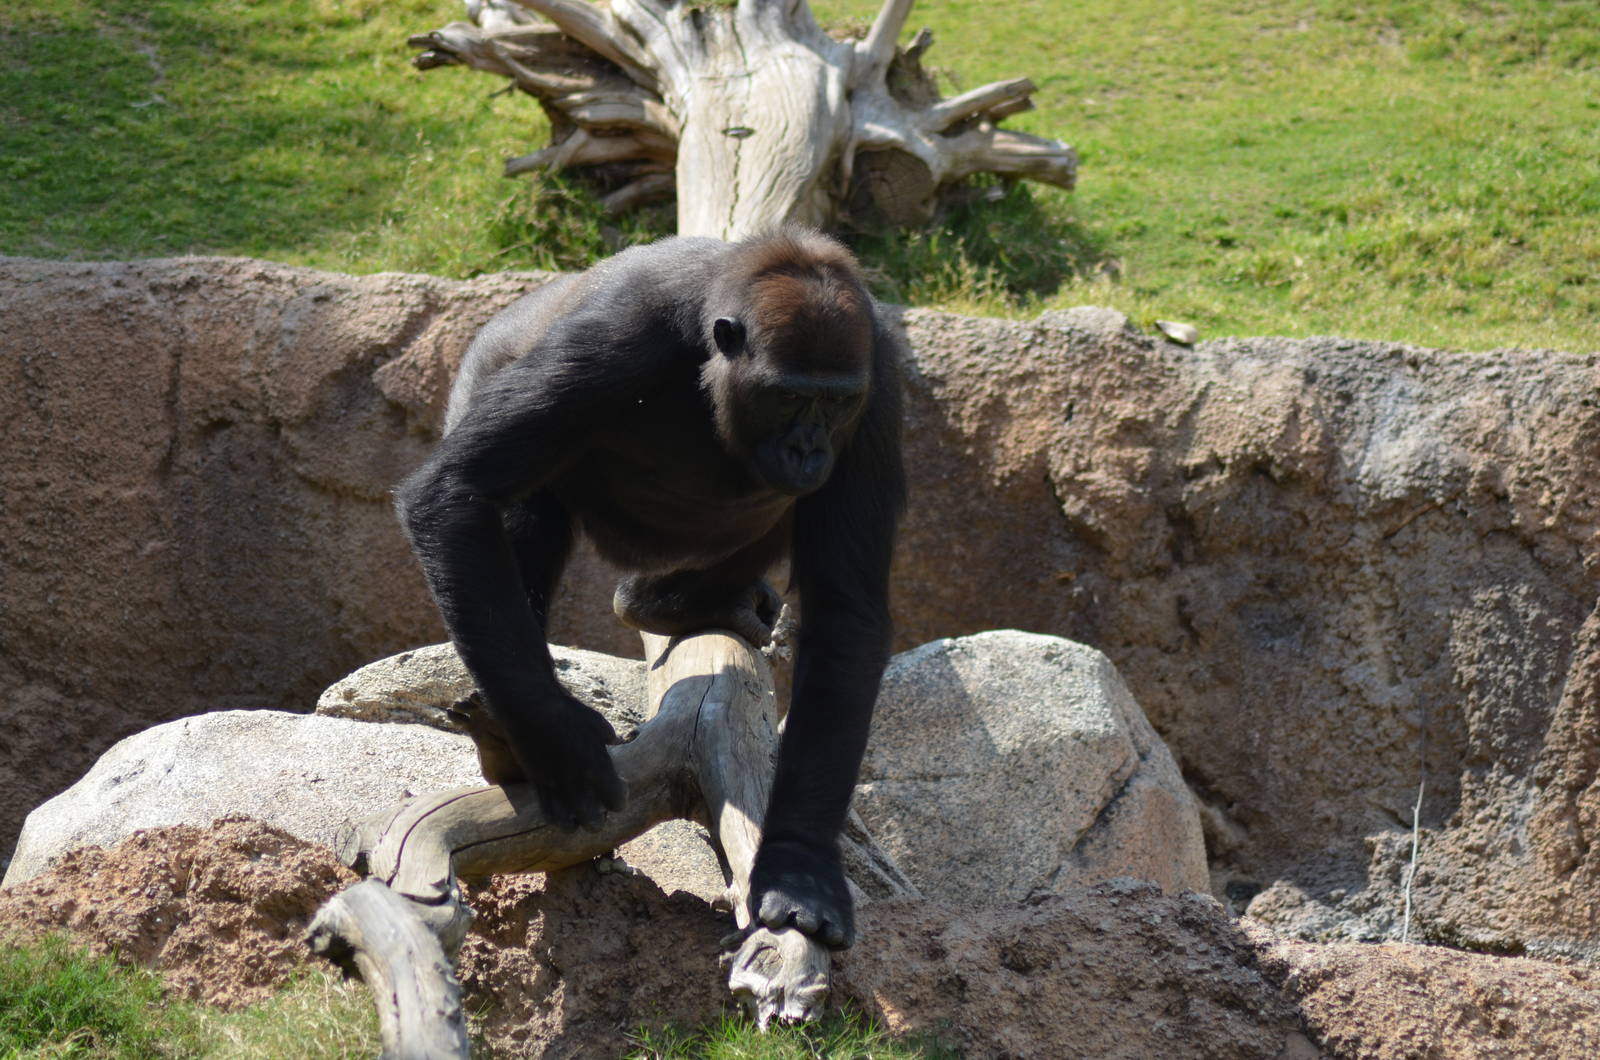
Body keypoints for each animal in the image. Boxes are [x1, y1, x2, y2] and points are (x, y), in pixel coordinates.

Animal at [395, 228, 904, 948]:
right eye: (786, 396)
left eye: (835, 403)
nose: (809, 449)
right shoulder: (614, 341)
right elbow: (456, 490)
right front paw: (554, 735)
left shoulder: (878, 385)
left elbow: (846, 615)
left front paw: (800, 865)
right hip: (488, 359)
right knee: (515, 507)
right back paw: (512, 735)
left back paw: (673, 601)